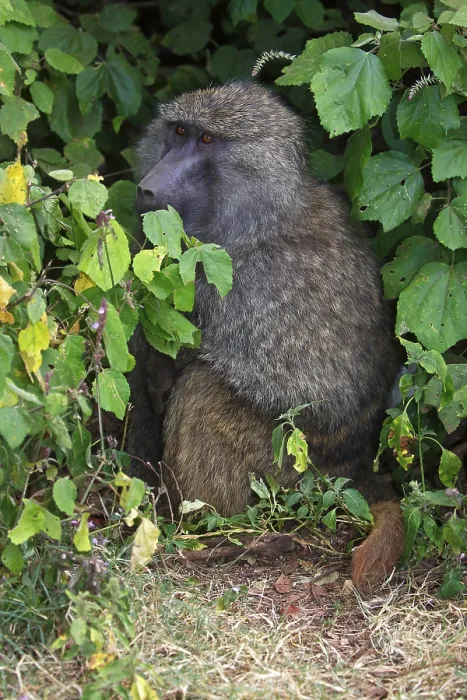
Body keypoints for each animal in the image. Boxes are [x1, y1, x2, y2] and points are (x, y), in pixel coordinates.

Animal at [130, 81, 403, 591]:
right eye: (179, 132)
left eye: (208, 140)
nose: (148, 186)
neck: (260, 215)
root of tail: (353, 463)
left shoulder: (232, 281)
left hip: (289, 470)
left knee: (202, 392)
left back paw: (206, 531)